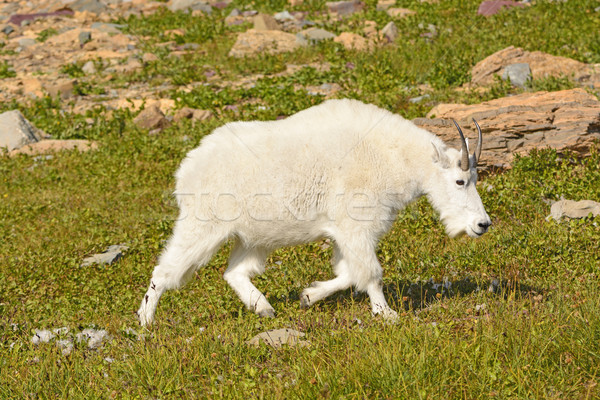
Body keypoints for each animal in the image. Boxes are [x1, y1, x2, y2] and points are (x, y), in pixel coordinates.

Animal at [137, 98, 492, 326]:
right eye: (460, 180)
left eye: (475, 178)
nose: (482, 224)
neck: (394, 157)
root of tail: (188, 167)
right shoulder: (356, 225)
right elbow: (370, 273)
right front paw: (386, 314)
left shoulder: (344, 232)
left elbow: (348, 273)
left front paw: (308, 296)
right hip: (203, 225)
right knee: (164, 271)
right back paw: (145, 322)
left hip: (254, 237)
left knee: (234, 271)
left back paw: (263, 308)